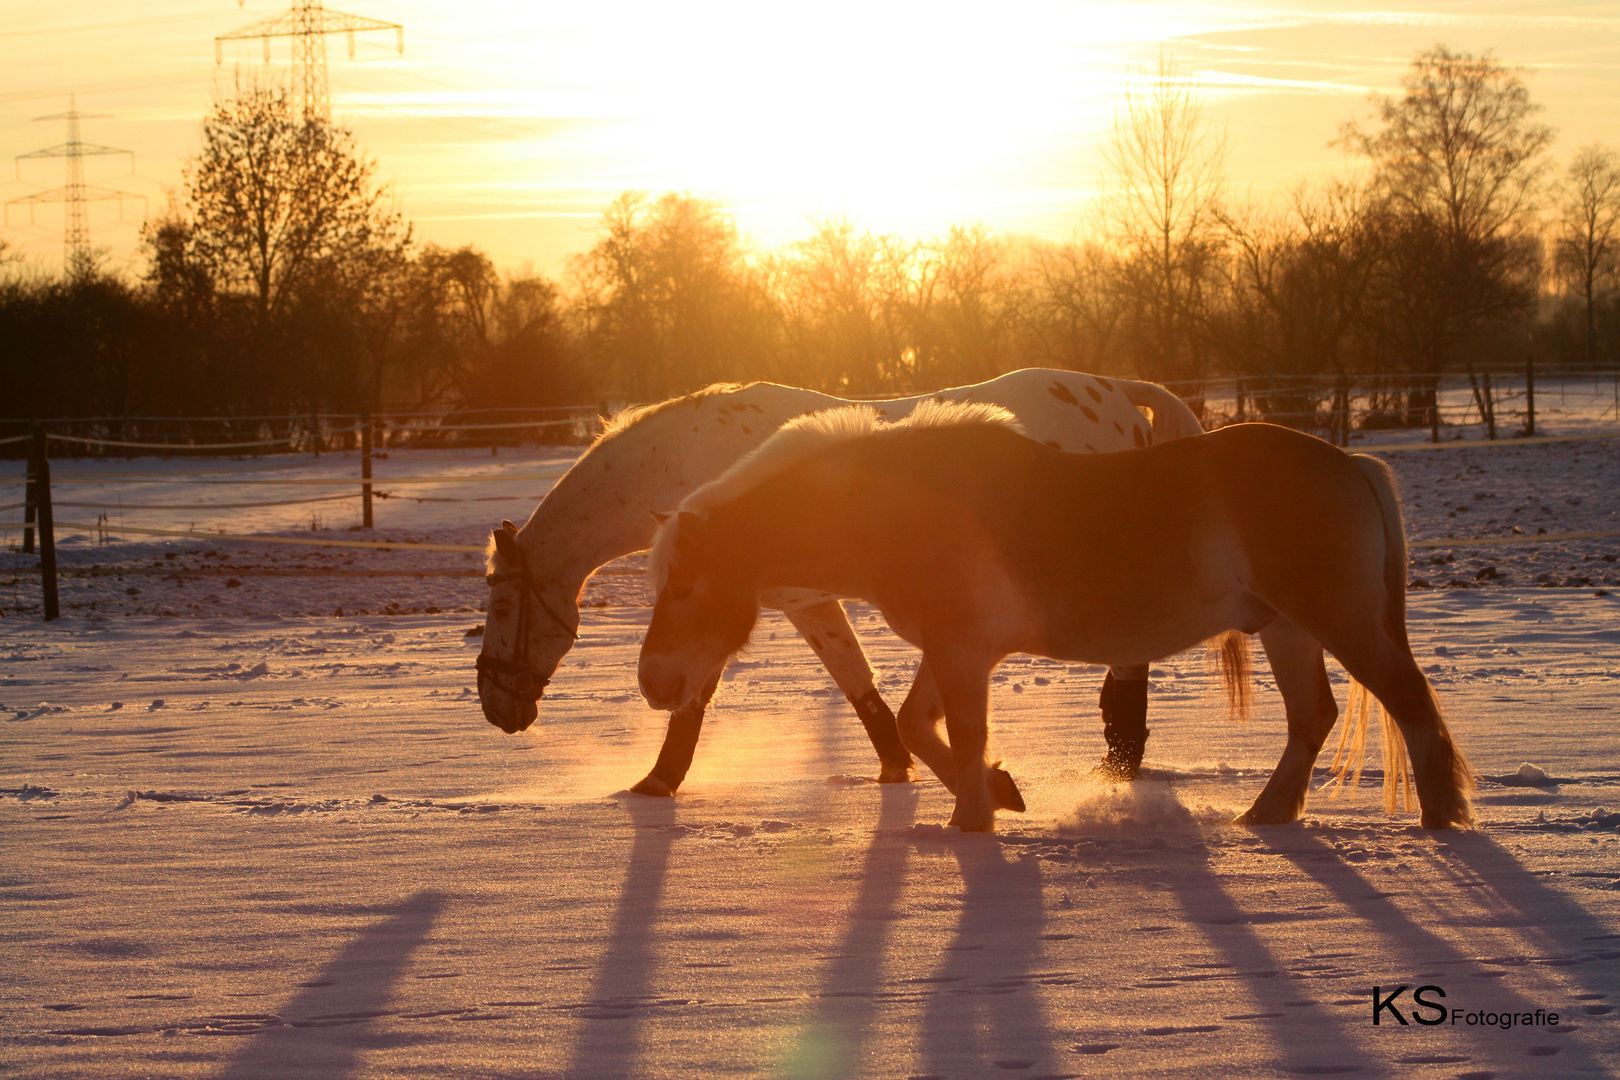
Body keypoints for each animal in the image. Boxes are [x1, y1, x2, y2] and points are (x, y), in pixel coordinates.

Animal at [473, 369, 1205, 793]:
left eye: (503, 605)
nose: (495, 707)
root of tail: (1116, 390)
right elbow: (857, 684)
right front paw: (896, 765)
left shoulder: (783, 601)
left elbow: (704, 693)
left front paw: (660, 780)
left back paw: (1121, 761)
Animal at [638, 404, 1477, 835]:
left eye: (683, 588)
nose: (654, 685)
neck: (895, 507)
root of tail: (1351, 464)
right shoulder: (955, 651)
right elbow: (918, 727)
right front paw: (1000, 791)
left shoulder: (962, 652)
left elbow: (959, 733)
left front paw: (972, 821)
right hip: (1285, 626)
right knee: (1314, 717)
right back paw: (1267, 815)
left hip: (1335, 619)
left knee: (1410, 704)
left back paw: (1443, 823)